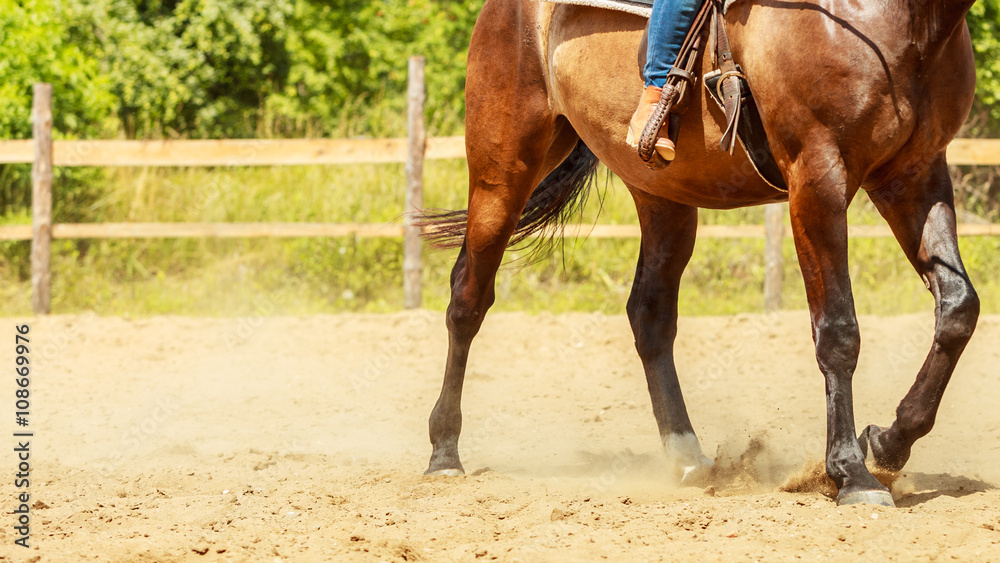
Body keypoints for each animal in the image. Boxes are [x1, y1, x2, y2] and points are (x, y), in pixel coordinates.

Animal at [417, 0, 979, 507]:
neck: (897, 21)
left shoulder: (913, 174)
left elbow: (958, 309)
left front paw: (887, 443)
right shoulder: (818, 179)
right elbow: (839, 332)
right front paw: (851, 473)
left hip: (661, 195)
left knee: (648, 315)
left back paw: (686, 455)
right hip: (503, 167)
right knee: (467, 298)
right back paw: (444, 453)